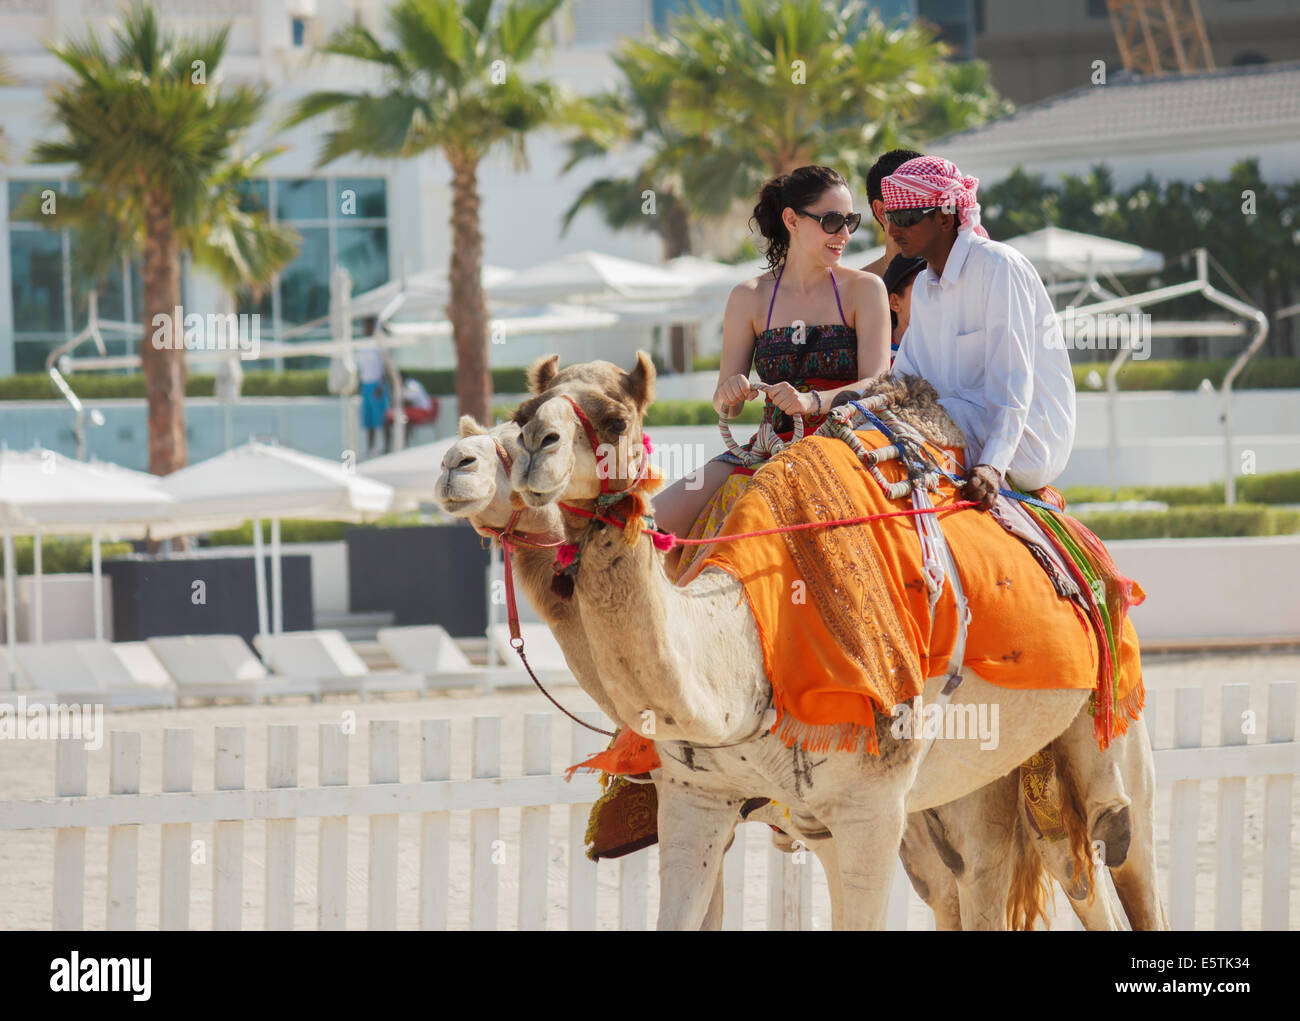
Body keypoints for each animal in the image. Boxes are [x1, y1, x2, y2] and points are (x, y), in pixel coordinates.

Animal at [506, 353, 1170, 931]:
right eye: (523, 412)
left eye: (617, 419)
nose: (535, 447)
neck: (755, 644)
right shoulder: (702, 796)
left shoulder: (867, 807)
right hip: (970, 790)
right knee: (986, 875)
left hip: (1106, 728)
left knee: (1115, 843)